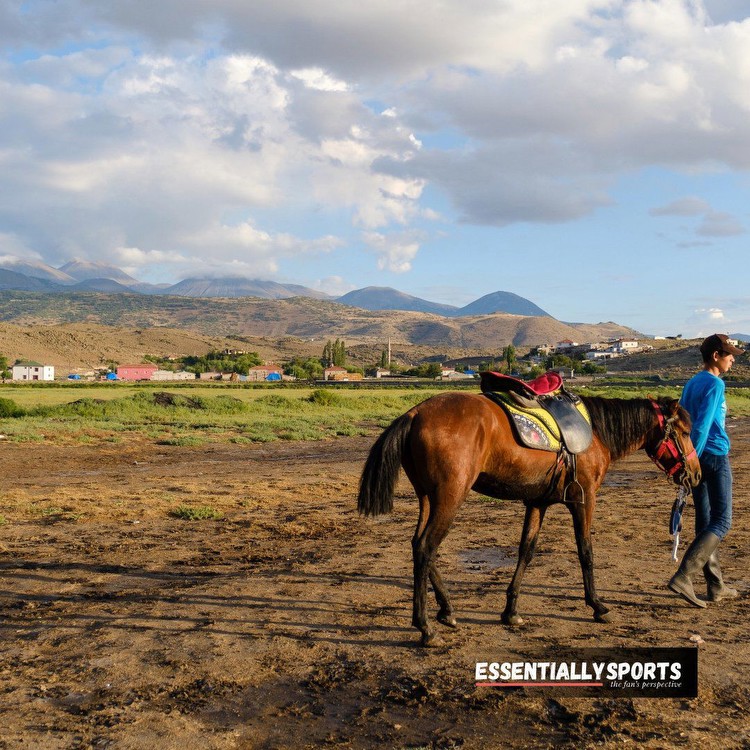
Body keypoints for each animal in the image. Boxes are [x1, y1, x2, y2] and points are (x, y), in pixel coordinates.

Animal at [358, 394, 704, 648]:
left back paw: (447, 611)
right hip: (449, 497)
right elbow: (586, 552)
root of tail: (415, 413)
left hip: (428, 498)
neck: (596, 434)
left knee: (418, 545)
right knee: (426, 548)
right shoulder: (584, 500)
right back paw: (426, 626)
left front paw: (511, 610)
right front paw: (597, 606)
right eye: (685, 433)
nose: (697, 474)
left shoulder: (538, 503)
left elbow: (526, 550)